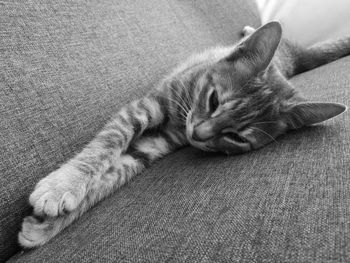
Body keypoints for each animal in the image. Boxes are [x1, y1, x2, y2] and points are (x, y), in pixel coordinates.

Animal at [18, 22, 348, 248]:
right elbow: (107, 144)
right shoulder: (147, 105)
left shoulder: (156, 144)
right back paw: (250, 29)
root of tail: (293, 56)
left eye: (237, 137)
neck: (182, 118)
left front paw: (45, 225)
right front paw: (64, 184)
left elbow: (114, 174)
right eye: (213, 100)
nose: (198, 134)